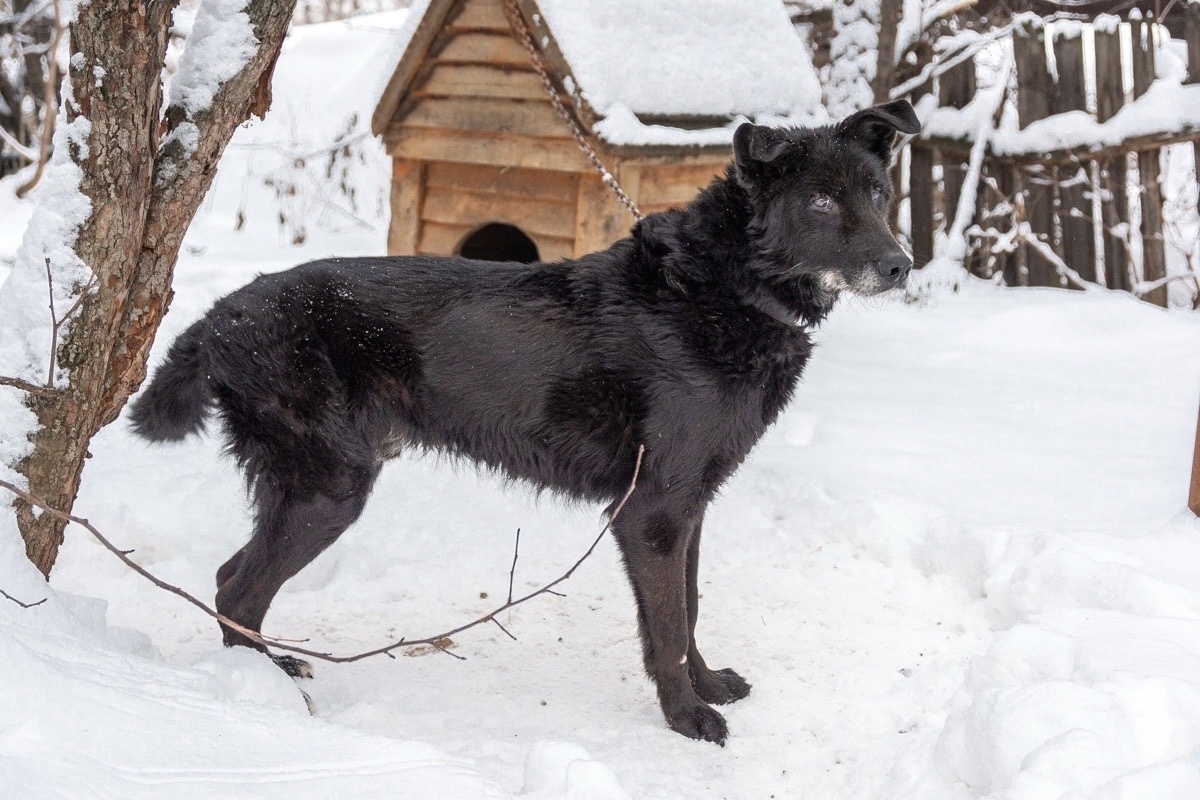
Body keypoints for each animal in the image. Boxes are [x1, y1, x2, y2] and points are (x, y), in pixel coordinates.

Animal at [129, 98, 916, 743]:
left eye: (878, 193)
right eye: (820, 201)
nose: (901, 266)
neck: (722, 286)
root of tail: (222, 314)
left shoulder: (691, 505)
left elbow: (689, 608)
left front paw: (708, 685)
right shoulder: (653, 512)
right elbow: (667, 625)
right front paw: (685, 718)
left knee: (230, 578)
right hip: (329, 486)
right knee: (237, 585)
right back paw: (267, 693)